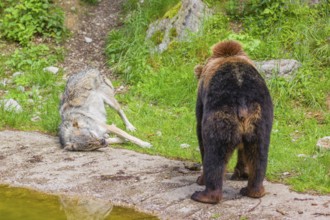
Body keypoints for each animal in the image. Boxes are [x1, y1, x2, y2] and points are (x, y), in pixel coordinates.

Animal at [191, 40, 274, 204]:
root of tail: (242, 102)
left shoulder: (202, 100)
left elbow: (200, 134)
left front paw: (200, 178)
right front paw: (241, 173)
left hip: (221, 116)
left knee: (215, 152)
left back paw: (203, 194)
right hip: (260, 119)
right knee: (258, 154)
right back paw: (253, 190)